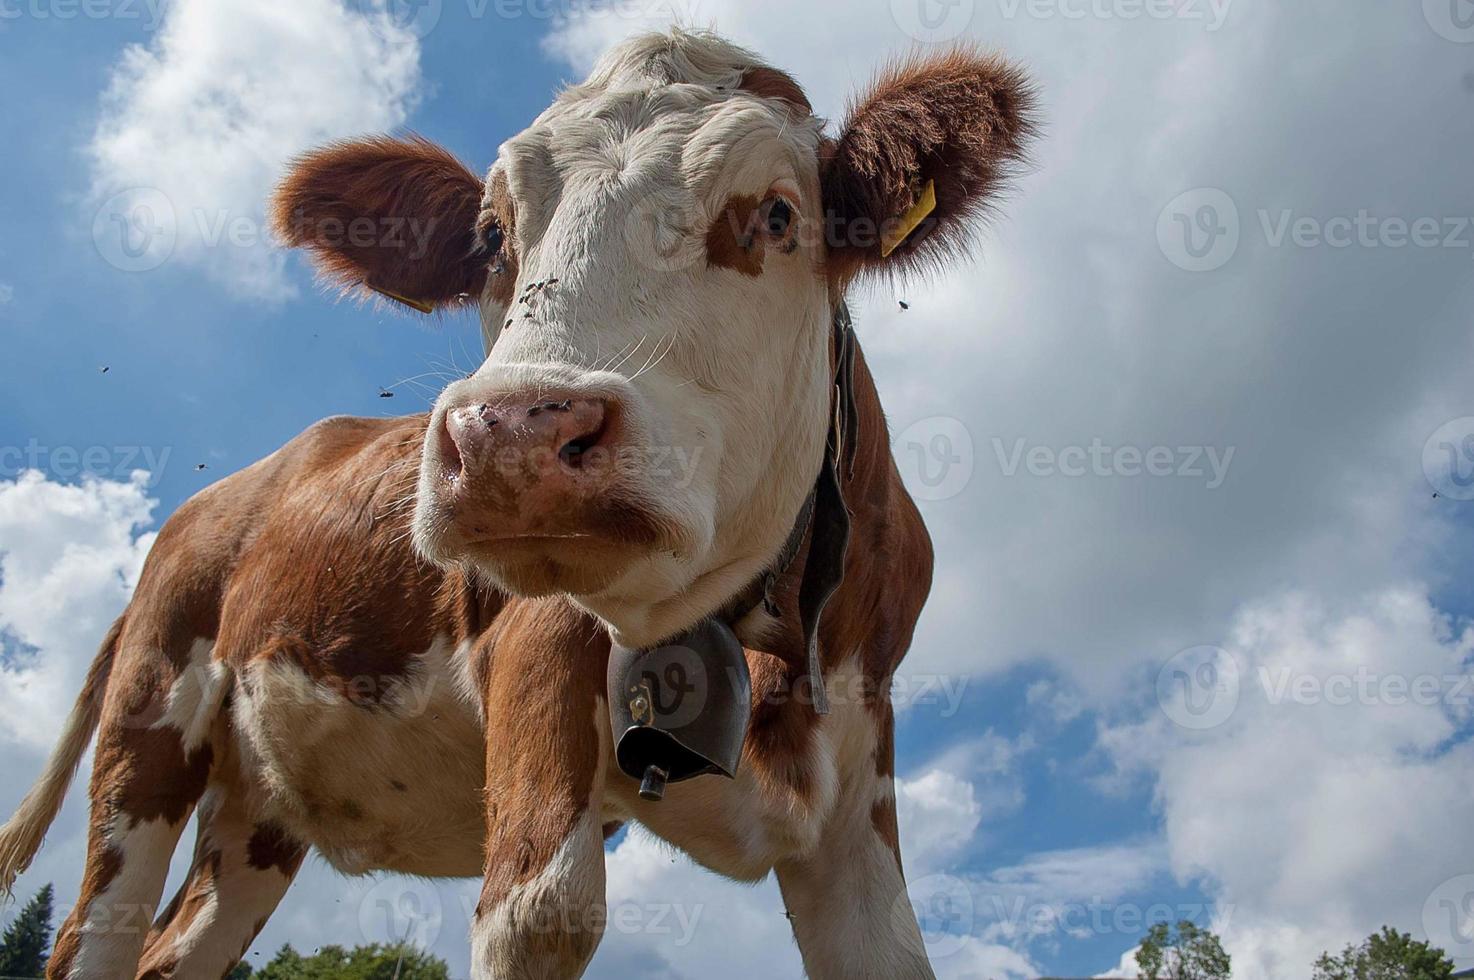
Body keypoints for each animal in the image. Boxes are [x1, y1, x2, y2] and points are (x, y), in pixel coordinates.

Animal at [0, 28, 1031, 978]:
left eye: (777, 214)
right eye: (493, 234)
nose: (511, 434)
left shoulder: (857, 768)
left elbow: (889, 951)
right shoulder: (537, 658)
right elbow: (545, 915)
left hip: (255, 816)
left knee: (174, 948)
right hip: (150, 714)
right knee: (94, 933)